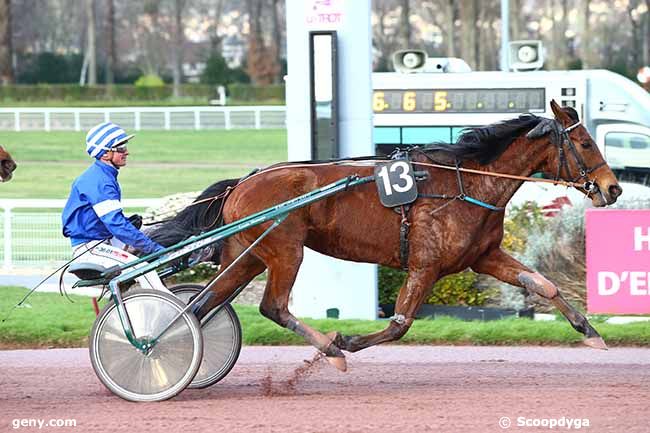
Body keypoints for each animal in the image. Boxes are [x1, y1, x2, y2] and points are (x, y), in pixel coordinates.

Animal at [149, 99, 620, 370]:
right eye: (585, 143)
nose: (613, 187)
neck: (466, 182)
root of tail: (243, 182)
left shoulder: (483, 256)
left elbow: (543, 284)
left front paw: (590, 332)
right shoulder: (425, 266)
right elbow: (399, 325)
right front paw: (346, 340)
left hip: (246, 254)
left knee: (202, 303)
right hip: (285, 250)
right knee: (272, 307)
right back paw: (330, 351)